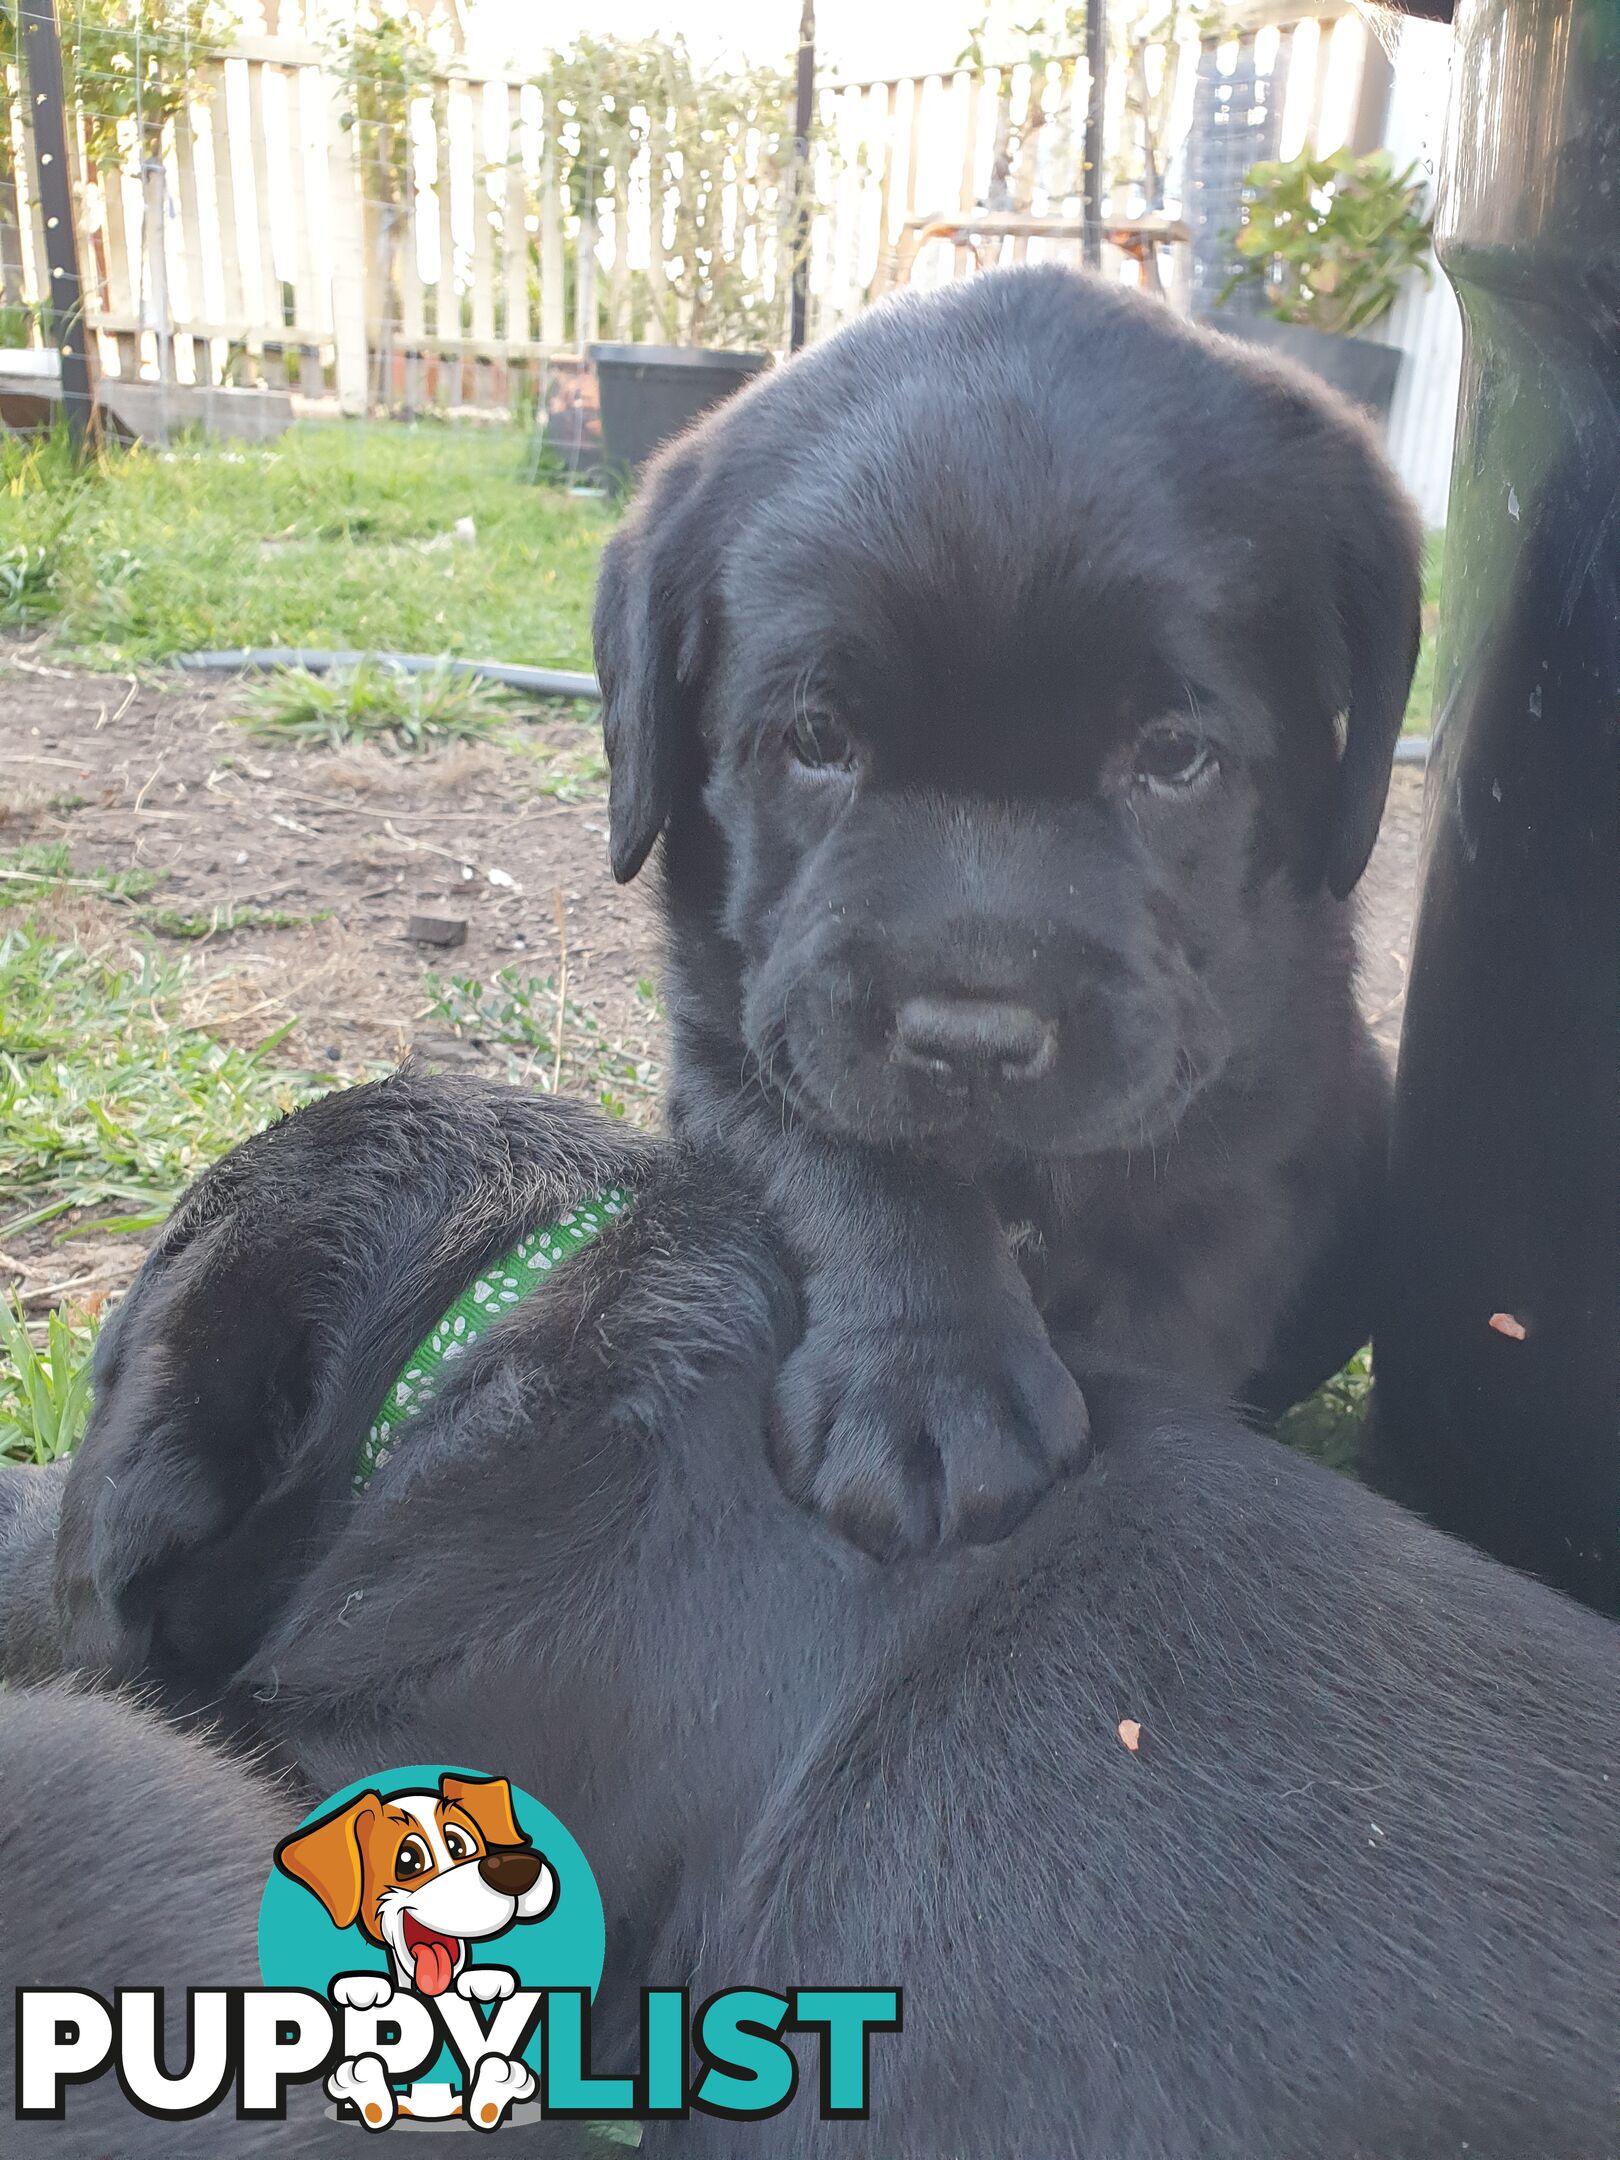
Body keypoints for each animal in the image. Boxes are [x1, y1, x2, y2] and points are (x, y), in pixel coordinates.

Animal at [596, 270, 1416, 1563]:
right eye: (816, 739)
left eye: (1174, 754)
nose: (972, 1043)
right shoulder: (738, 1044)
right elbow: (859, 1163)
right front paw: (930, 1385)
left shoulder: (1247, 1139)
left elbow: (1166, 1325)